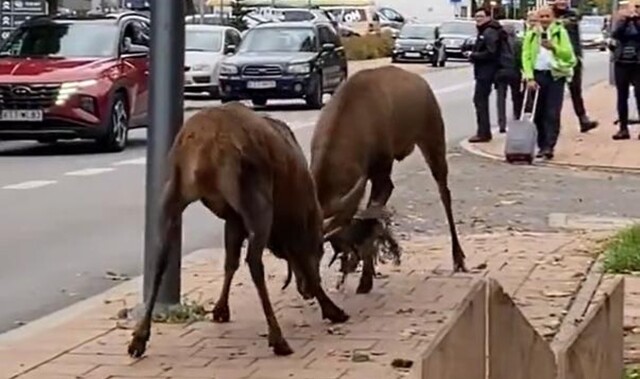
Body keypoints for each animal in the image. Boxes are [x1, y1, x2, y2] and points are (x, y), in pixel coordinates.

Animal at [127, 104, 352, 360]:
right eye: (320, 250)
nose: (304, 292)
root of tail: (205, 147)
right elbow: (299, 261)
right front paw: (333, 310)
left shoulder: (233, 218)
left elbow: (230, 262)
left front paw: (220, 309)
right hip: (255, 195)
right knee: (254, 261)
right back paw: (278, 339)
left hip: (172, 190)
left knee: (160, 258)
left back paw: (138, 338)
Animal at [310, 67, 464, 296]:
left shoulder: (382, 170)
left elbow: (372, 221)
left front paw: (365, 279)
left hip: (433, 135)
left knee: (444, 192)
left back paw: (458, 258)